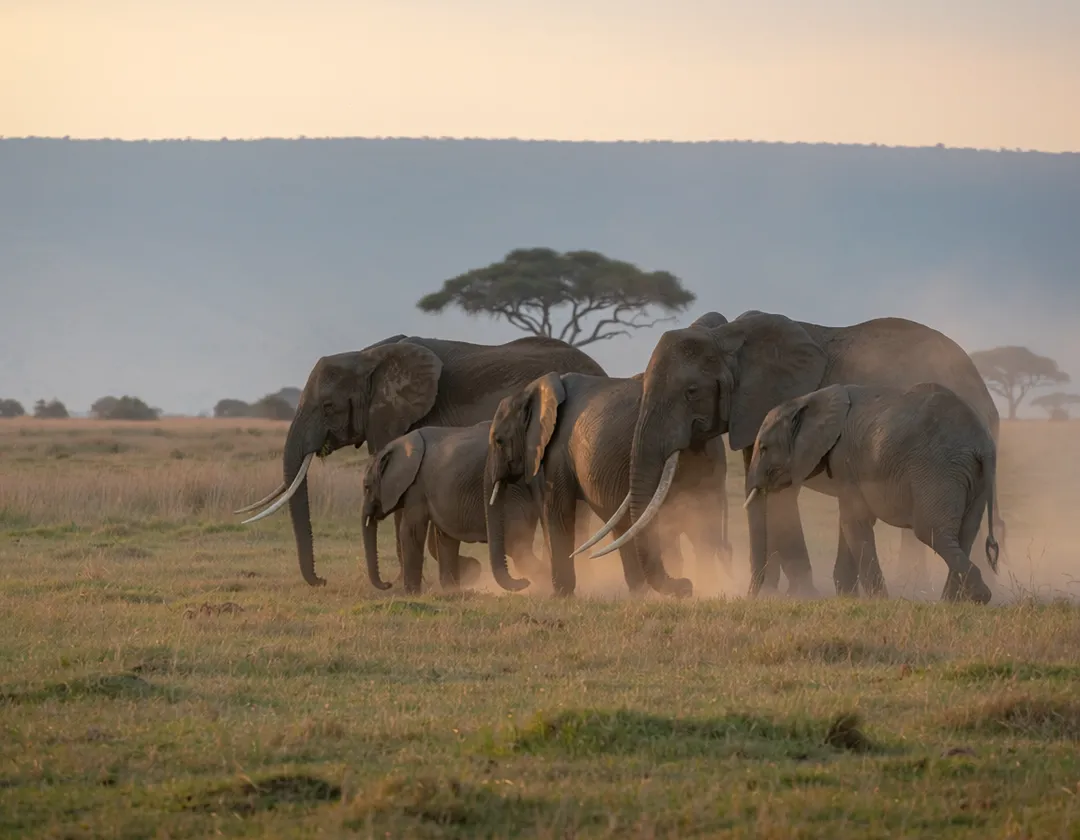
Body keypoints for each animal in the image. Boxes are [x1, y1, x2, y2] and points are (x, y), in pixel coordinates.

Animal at [361, 422, 545, 594]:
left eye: (367, 487)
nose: (388, 584)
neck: (397, 445)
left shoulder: (416, 486)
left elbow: (411, 530)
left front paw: (411, 594)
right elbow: (444, 535)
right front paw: (451, 590)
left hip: (512, 492)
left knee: (515, 544)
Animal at [485, 371, 731, 597]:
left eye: (498, 440)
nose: (523, 583)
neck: (534, 389)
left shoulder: (557, 449)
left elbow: (557, 511)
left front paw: (560, 596)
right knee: (696, 531)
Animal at [744, 382, 1000, 603]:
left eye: (764, 448)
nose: (754, 597)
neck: (808, 399)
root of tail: (983, 445)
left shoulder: (846, 459)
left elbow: (854, 521)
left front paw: (878, 601)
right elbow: (850, 521)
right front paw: (849, 597)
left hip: (938, 469)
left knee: (932, 531)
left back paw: (978, 597)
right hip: (973, 477)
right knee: (964, 533)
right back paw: (954, 601)